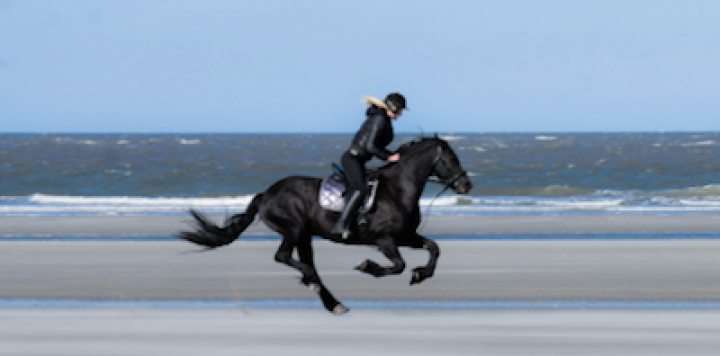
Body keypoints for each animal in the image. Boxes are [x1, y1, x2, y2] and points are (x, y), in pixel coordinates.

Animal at [179, 135, 472, 312]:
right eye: (451, 159)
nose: (466, 185)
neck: (398, 189)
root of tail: (267, 193)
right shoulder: (384, 239)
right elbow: (398, 265)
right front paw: (369, 266)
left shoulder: (405, 236)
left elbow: (433, 248)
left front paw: (421, 274)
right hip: (294, 229)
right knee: (285, 257)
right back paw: (313, 282)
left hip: (304, 235)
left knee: (304, 262)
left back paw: (332, 302)